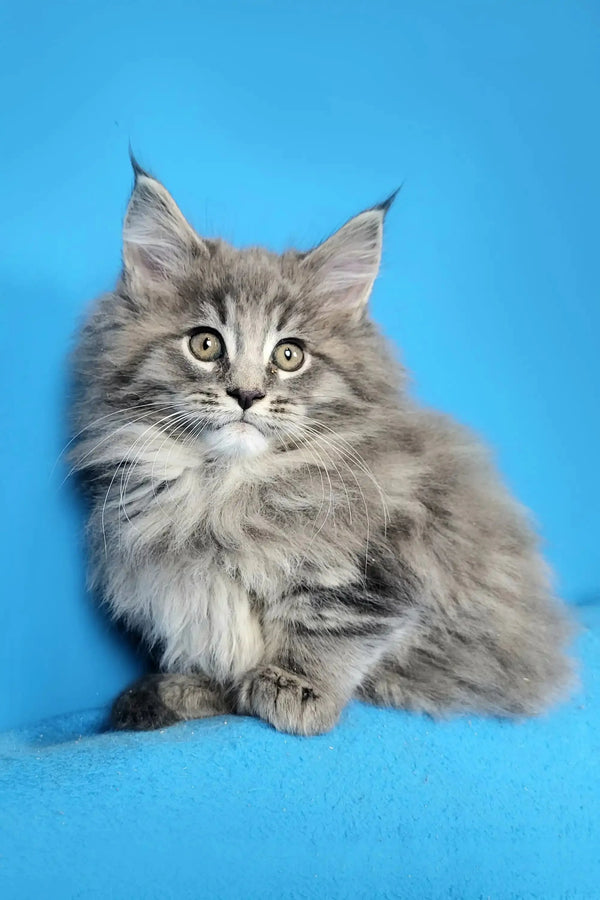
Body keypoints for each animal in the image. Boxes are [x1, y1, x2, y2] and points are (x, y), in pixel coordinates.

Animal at [72, 162, 576, 736]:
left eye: (289, 355)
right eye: (205, 343)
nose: (246, 394)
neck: (222, 490)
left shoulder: (386, 561)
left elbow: (335, 623)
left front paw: (297, 687)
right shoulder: (185, 593)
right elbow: (215, 644)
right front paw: (185, 690)